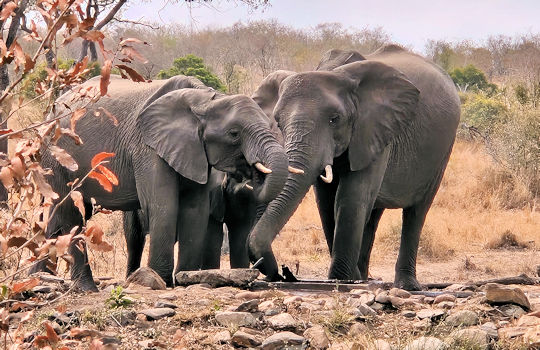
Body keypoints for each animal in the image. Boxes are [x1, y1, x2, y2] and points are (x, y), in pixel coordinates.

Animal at [32, 73, 292, 290]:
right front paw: (160, 280)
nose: (251, 172)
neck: (204, 101)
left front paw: (186, 279)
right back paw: (85, 288)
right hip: (57, 155)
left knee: (58, 216)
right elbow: (163, 205)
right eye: (234, 133)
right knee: (71, 215)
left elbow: (195, 210)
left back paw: (38, 280)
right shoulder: (147, 148)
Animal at [248, 44, 460, 290]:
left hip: (443, 151)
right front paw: (349, 278)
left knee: (416, 212)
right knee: (372, 214)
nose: (282, 272)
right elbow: (326, 202)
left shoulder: (375, 129)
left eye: (334, 119)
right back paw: (363, 277)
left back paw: (404, 285)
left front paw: (341, 280)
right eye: (278, 122)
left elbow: (350, 197)